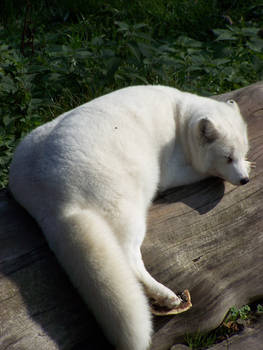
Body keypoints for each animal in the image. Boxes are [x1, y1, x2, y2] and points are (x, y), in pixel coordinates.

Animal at [8, 85, 252, 350]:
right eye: (227, 158)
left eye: (242, 152)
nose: (245, 181)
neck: (180, 118)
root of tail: (54, 198)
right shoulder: (173, 172)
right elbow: (204, 172)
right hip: (130, 211)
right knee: (129, 260)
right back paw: (166, 296)